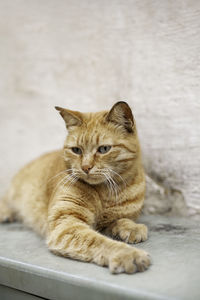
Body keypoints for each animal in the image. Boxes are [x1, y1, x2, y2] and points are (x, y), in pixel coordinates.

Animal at [0, 101, 150, 274]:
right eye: (76, 150)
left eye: (104, 149)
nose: (86, 167)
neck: (104, 192)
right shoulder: (67, 224)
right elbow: (99, 241)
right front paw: (128, 254)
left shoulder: (114, 217)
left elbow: (122, 220)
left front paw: (132, 228)